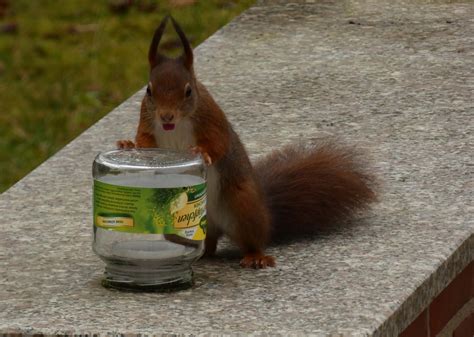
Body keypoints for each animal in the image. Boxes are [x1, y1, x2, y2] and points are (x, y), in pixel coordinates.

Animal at [116, 16, 376, 268]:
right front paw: (128, 145)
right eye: (149, 91)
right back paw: (199, 254)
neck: (176, 125)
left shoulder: (212, 119)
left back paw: (255, 256)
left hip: (242, 204)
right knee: (207, 244)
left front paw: (202, 152)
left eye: (188, 91)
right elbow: (144, 142)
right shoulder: (147, 121)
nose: (166, 116)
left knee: (253, 239)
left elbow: (219, 143)